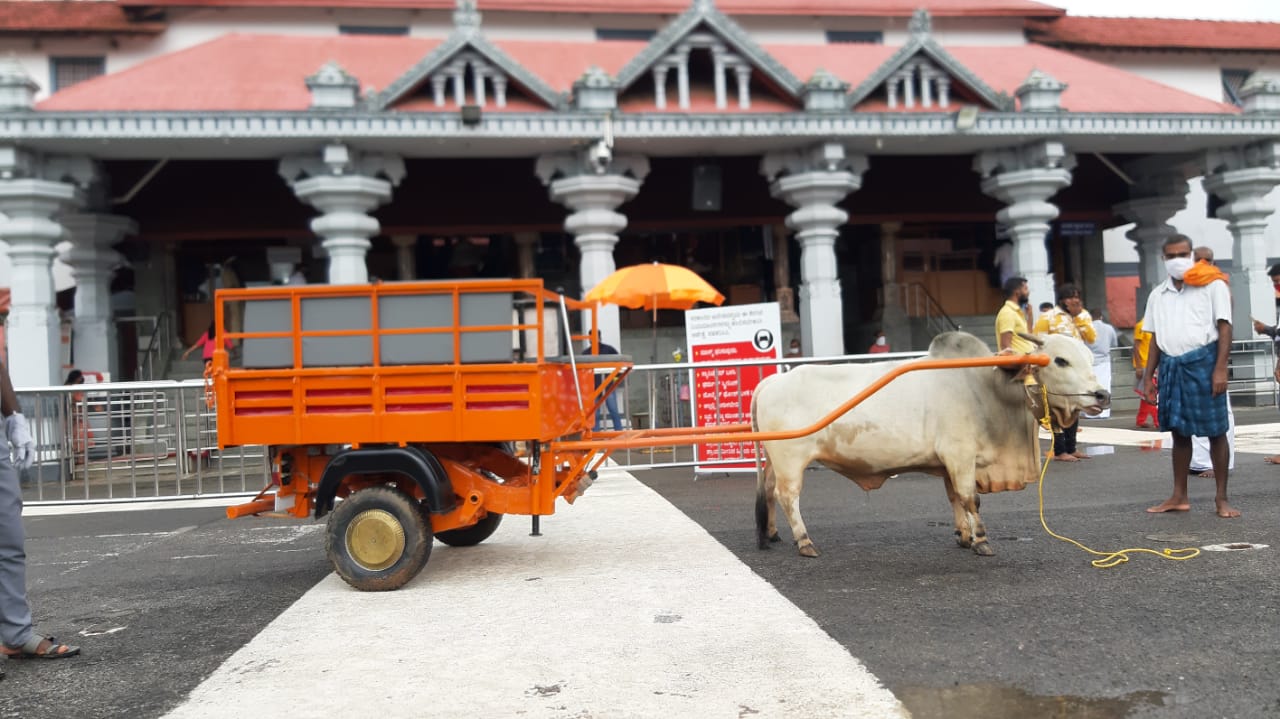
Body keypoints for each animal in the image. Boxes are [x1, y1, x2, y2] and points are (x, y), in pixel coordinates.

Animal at [752, 332, 1105, 560]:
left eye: (1090, 358)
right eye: (1060, 360)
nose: (1102, 395)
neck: (985, 386)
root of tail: (771, 381)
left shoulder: (950, 464)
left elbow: (954, 498)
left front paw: (964, 535)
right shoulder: (961, 456)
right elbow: (971, 498)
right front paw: (981, 540)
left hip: (774, 460)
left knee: (768, 491)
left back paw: (771, 533)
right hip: (791, 460)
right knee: (788, 497)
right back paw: (804, 541)